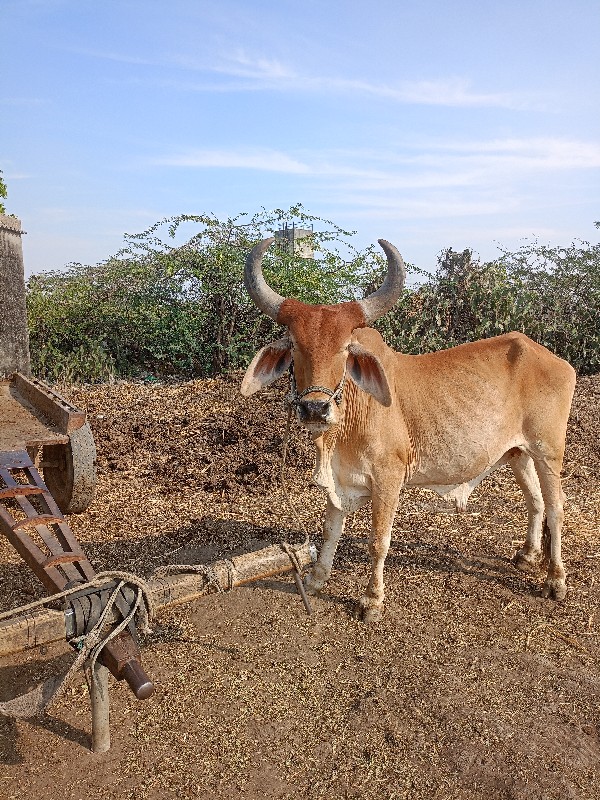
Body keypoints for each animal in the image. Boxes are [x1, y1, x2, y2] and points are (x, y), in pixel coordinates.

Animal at [239, 234, 576, 620]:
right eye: (295, 345)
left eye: (346, 348)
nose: (315, 408)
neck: (348, 421)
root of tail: (550, 357)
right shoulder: (339, 479)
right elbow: (329, 530)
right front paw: (316, 579)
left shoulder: (388, 478)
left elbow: (378, 541)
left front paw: (372, 600)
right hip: (519, 452)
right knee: (535, 501)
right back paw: (528, 555)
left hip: (549, 450)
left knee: (556, 507)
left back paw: (555, 580)